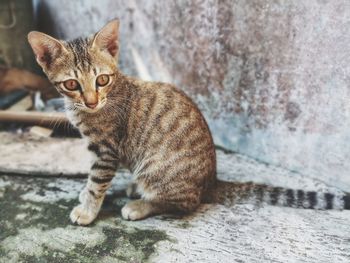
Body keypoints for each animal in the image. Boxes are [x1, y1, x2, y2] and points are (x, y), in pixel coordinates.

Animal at [28, 19, 350, 226]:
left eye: (102, 79)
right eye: (72, 84)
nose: (92, 101)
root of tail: (211, 181)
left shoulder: (106, 150)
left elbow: (97, 182)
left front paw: (88, 210)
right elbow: (91, 179)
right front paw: (85, 195)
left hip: (156, 167)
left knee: (184, 204)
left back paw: (140, 205)